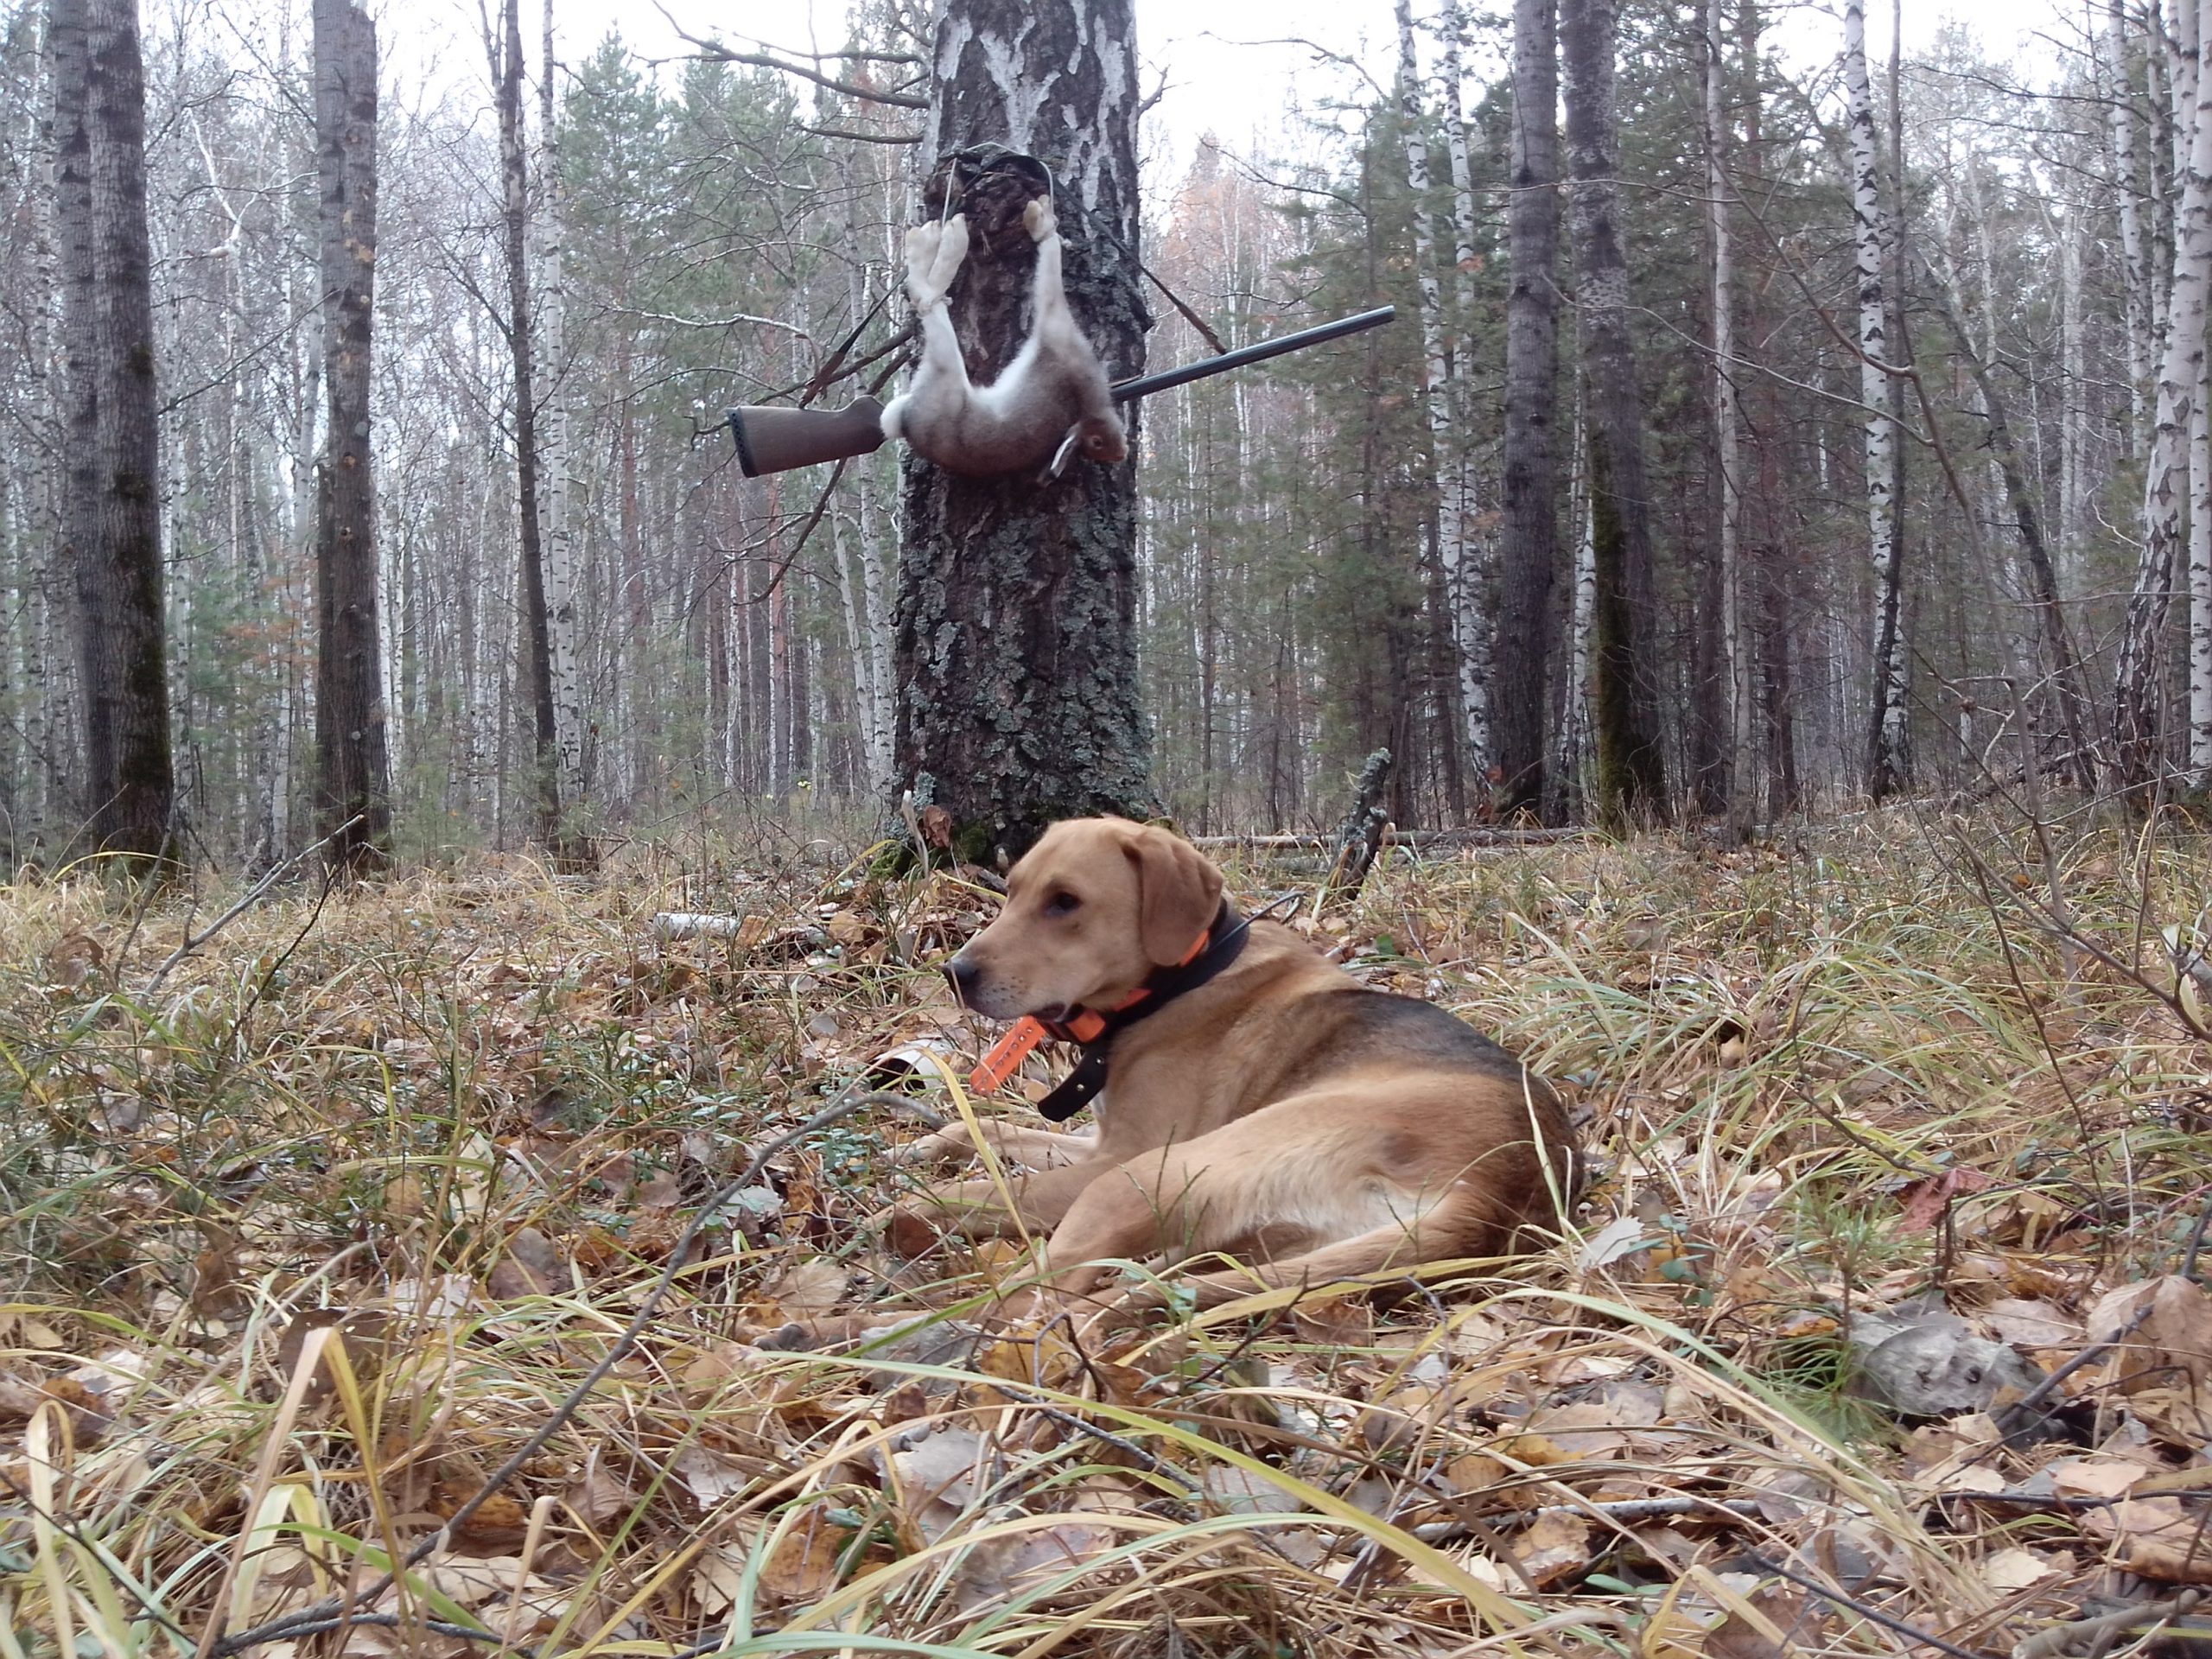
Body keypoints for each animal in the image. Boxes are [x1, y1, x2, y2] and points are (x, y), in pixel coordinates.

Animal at [880, 823, 1574, 1327]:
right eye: (1012, 890)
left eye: (1065, 902)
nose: (955, 973)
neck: (1183, 977)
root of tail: (1501, 1194)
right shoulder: (1102, 1141)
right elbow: (984, 1131)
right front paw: (920, 1147)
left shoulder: (1117, 1157)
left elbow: (970, 1192)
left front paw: (921, 1200)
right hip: (1248, 1243)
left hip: (1152, 1177)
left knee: (1039, 1293)